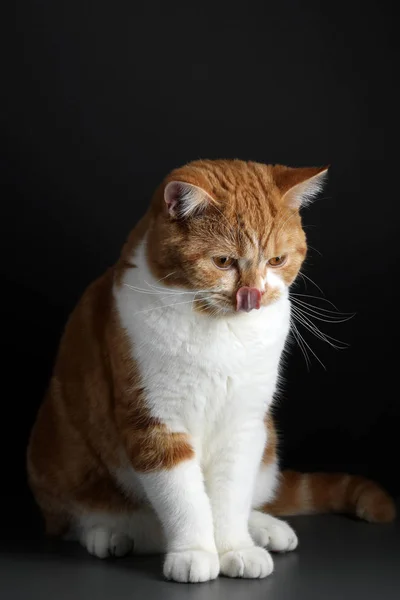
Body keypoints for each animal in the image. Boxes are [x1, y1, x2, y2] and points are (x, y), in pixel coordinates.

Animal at [26, 159, 396, 580]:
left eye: (276, 261)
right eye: (223, 261)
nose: (253, 295)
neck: (221, 332)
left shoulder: (245, 423)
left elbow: (231, 495)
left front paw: (235, 548)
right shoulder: (155, 423)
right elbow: (184, 498)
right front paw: (195, 552)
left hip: (267, 444)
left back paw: (265, 529)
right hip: (59, 462)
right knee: (88, 519)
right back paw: (110, 535)